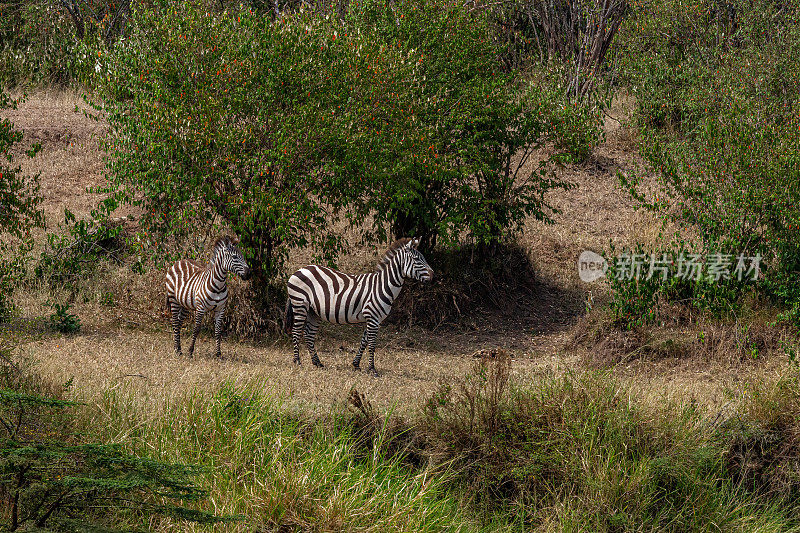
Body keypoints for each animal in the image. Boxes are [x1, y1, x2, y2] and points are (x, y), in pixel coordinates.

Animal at [282, 237, 432, 374]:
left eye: (423, 258)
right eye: (417, 260)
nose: (433, 275)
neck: (382, 286)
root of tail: (299, 270)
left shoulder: (373, 318)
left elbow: (364, 341)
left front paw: (356, 364)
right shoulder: (372, 317)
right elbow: (372, 344)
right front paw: (372, 369)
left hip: (314, 312)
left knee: (309, 334)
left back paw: (317, 362)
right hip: (300, 305)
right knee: (296, 332)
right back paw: (297, 361)